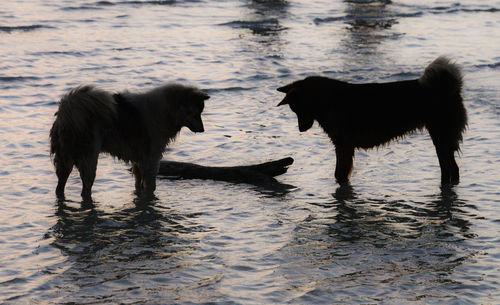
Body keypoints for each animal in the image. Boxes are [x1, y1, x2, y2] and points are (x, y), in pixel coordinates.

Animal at [49, 82, 208, 200]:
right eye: (197, 113)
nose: (203, 130)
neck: (167, 110)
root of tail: (66, 111)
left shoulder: (139, 160)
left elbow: (139, 184)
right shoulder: (152, 159)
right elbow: (151, 185)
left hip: (65, 159)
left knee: (60, 186)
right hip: (89, 158)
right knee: (86, 187)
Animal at [280, 56, 466, 185]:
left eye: (297, 109)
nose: (301, 129)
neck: (325, 100)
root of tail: (449, 87)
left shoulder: (343, 146)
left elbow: (339, 173)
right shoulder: (344, 147)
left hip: (441, 137)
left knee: (449, 167)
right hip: (442, 140)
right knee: (452, 168)